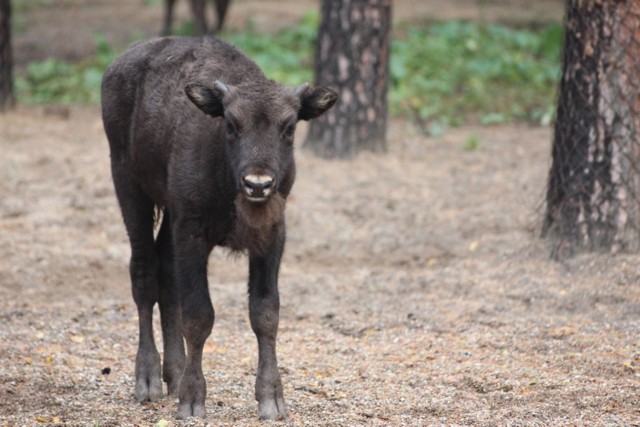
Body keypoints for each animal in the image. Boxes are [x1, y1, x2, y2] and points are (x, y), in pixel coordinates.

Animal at [101, 36, 336, 422]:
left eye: (289, 127)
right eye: (231, 124)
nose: (258, 184)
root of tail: (118, 64)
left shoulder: (271, 236)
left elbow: (265, 312)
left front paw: (272, 400)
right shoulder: (192, 233)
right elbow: (199, 315)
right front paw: (192, 401)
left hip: (168, 215)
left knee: (166, 277)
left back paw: (173, 373)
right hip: (129, 188)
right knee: (144, 274)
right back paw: (148, 380)